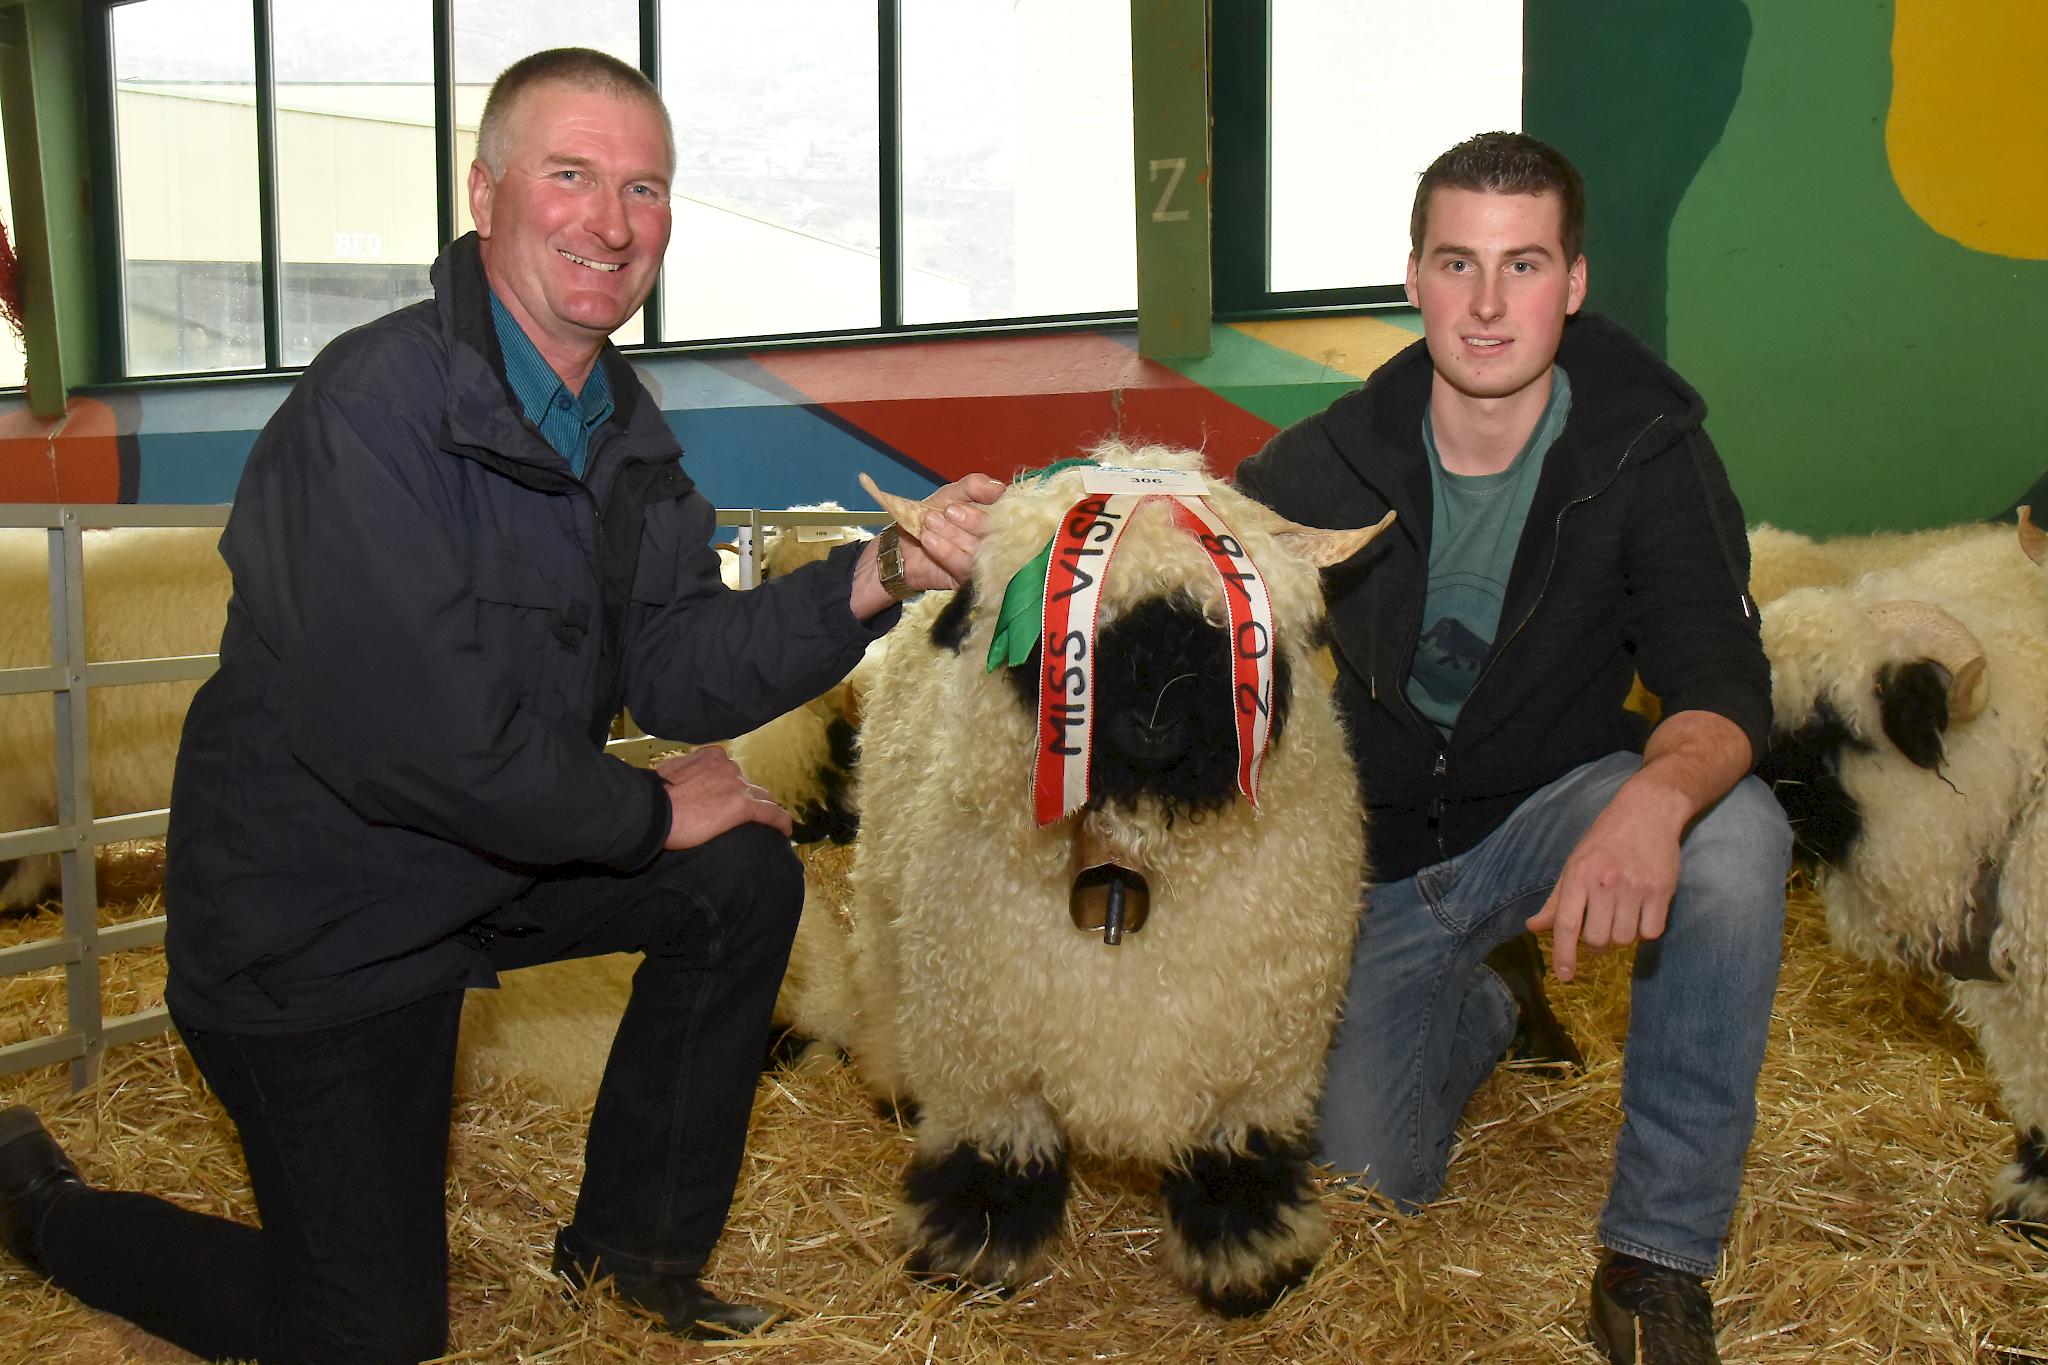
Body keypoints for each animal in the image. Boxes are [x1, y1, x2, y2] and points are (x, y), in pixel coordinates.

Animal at [835, 444, 1392, 1317]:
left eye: (1228, 629)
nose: (1155, 715)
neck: (1135, 852)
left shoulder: (1265, 1048)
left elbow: (1238, 1153)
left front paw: (1249, 1253)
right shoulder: (985, 1040)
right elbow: (997, 1144)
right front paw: (975, 1245)